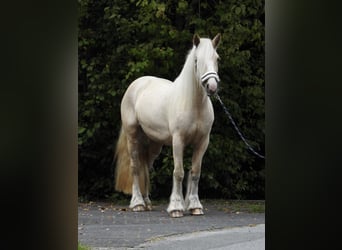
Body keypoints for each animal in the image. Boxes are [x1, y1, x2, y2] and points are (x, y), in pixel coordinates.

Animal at [115, 33, 222, 217]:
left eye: (217, 58)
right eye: (196, 60)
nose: (212, 86)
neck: (193, 104)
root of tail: (136, 84)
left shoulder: (202, 142)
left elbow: (195, 173)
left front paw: (195, 206)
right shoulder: (178, 141)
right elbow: (178, 173)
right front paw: (176, 208)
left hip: (153, 144)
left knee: (146, 166)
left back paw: (147, 202)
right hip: (133, 136)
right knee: (135, 166)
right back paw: (138, 204)